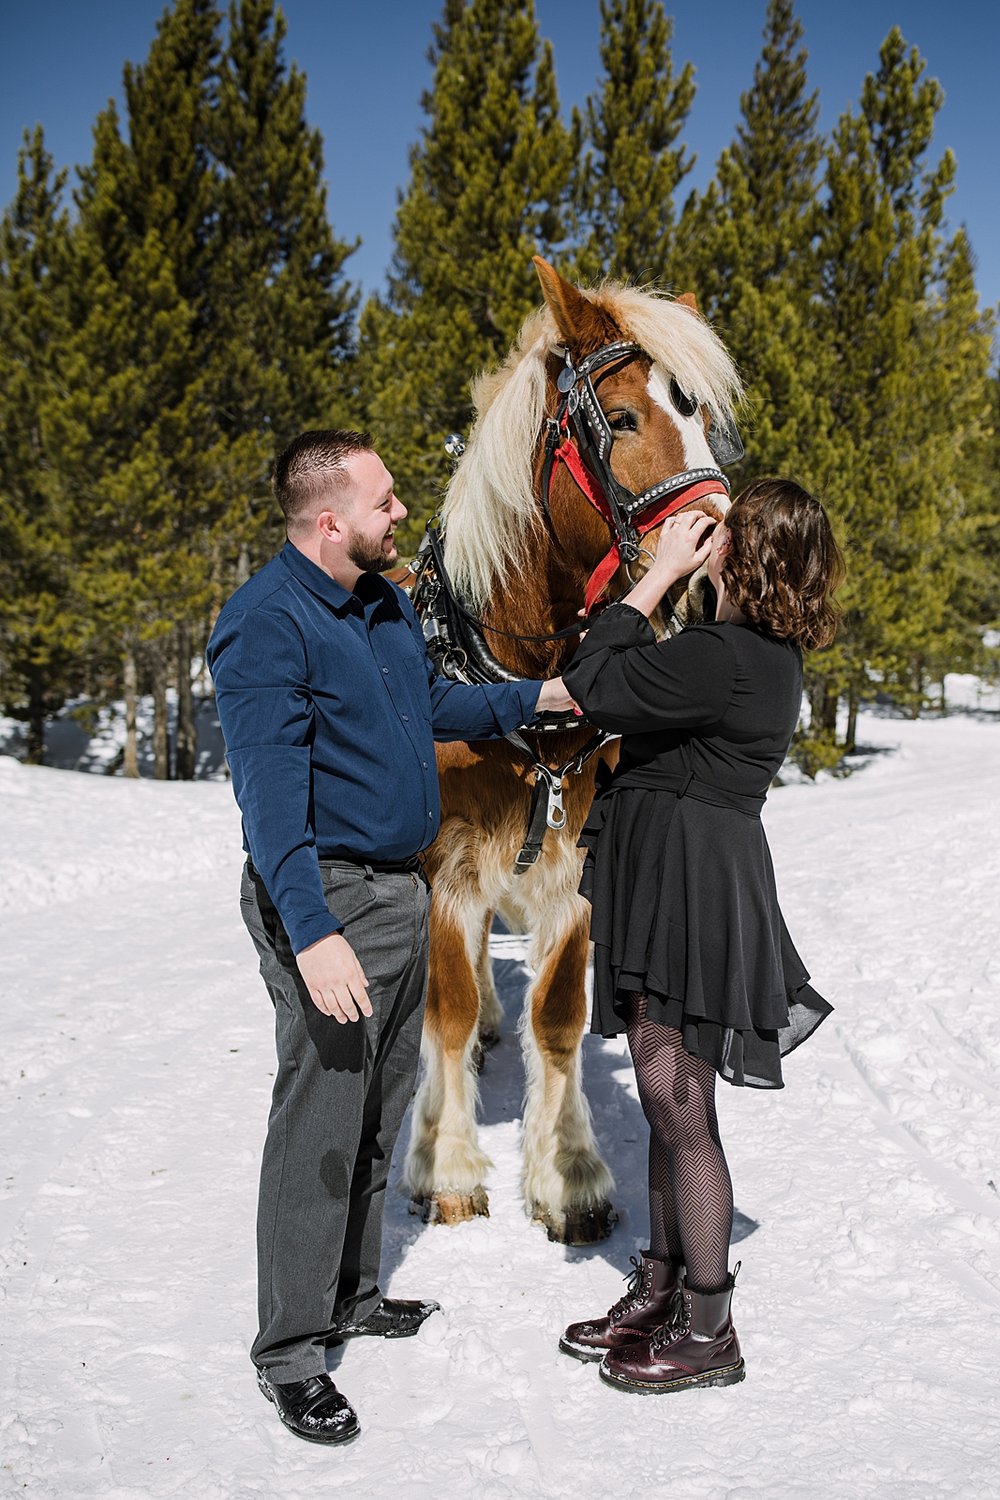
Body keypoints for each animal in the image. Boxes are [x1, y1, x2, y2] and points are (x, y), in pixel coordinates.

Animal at [404, 255, 743, 1242]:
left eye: (702, 419)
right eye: (622, 419)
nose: (710, 576)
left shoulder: (579, 869)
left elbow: (557, 1019)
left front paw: (571, 1177)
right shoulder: (448, 871)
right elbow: (444, 1012)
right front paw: (448, 1167)